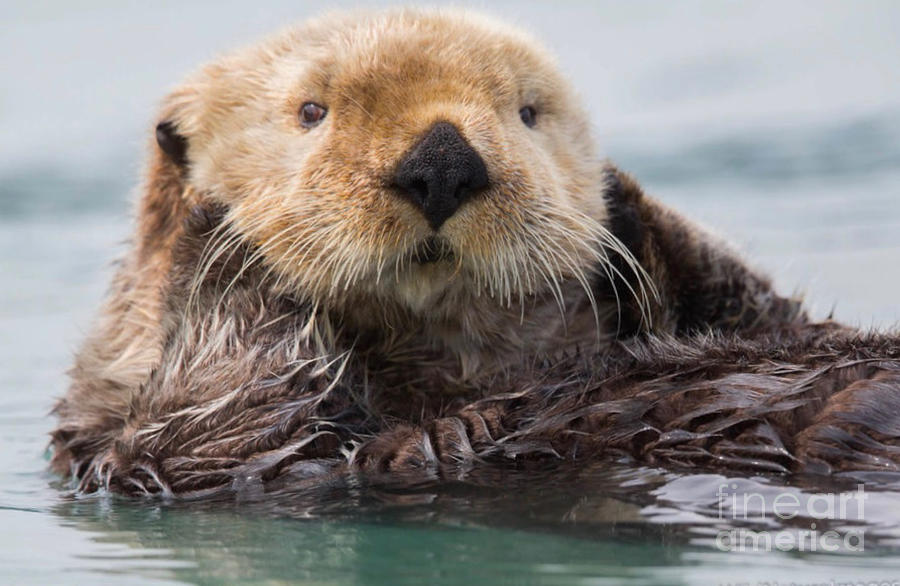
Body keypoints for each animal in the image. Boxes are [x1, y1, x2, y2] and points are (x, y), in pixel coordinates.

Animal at [51, 8, 900, 498]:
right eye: (310, 111)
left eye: (527, 112)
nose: (442, 161)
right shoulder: (153, 454)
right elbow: (220, 430)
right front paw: (208, 226)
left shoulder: (763, 317)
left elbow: (763, 305)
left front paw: (620, 203)